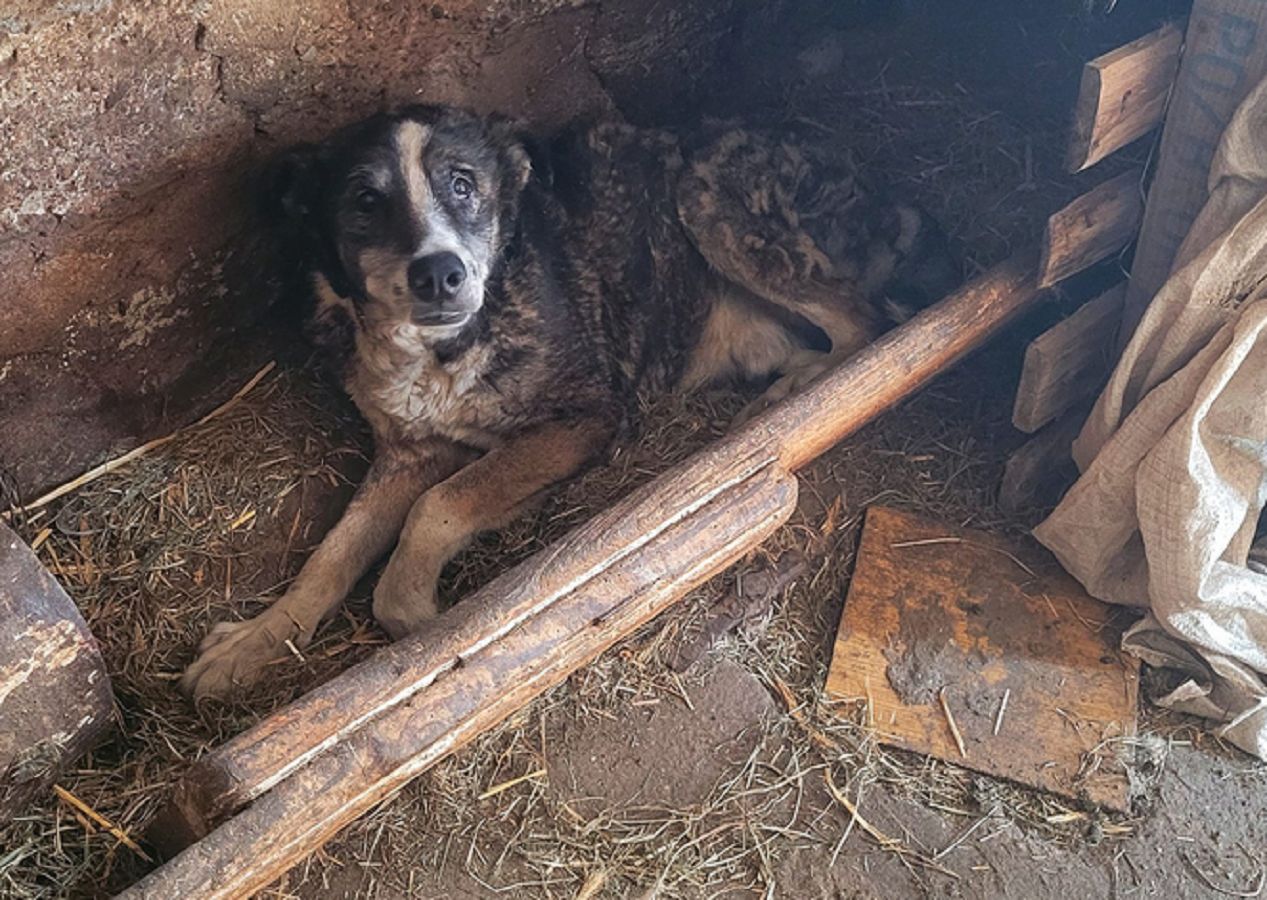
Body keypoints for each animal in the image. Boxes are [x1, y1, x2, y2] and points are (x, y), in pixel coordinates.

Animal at [181, 103, 957, 699]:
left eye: (463, 185)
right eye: (365, 202)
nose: (439, 274)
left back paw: (799, 389)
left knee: (865, 322)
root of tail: (884, 194)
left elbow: (440, 507)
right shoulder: (408, 452)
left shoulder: (586, 417)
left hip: (706, 191)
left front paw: (415, 611)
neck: (444, 347)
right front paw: (258, 639)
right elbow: (332, 555)